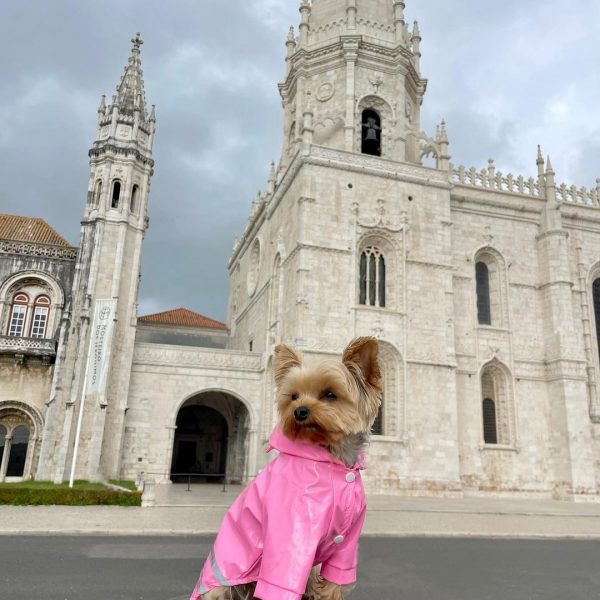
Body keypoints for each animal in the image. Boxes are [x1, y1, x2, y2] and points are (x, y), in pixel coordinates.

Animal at [190, 338, 382, 600]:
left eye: (329, 394)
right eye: (293, 396)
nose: (299, 411)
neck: (329, 457)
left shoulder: (346, 544)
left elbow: (333, 584)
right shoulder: (291, 538)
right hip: (223, 582)